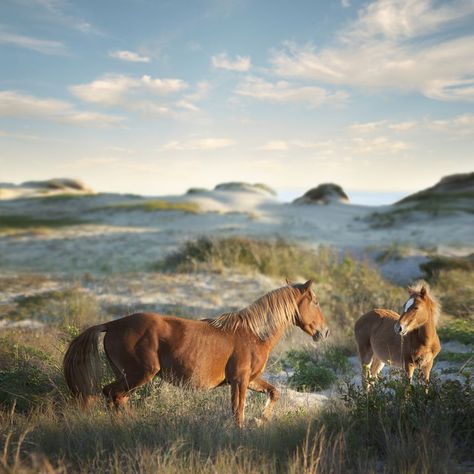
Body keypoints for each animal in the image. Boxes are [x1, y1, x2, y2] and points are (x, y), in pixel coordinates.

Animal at [63, 280, 330, 428]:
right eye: (315, 302)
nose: (324, 331)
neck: (254, 333)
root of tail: (113, 324)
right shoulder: (240, 381)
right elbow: (238, 413)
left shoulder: (250, 380)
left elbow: (274, 393)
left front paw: (261, 420)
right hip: (139, 375)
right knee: (113, 394)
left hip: (127, 376)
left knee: (115, 397)